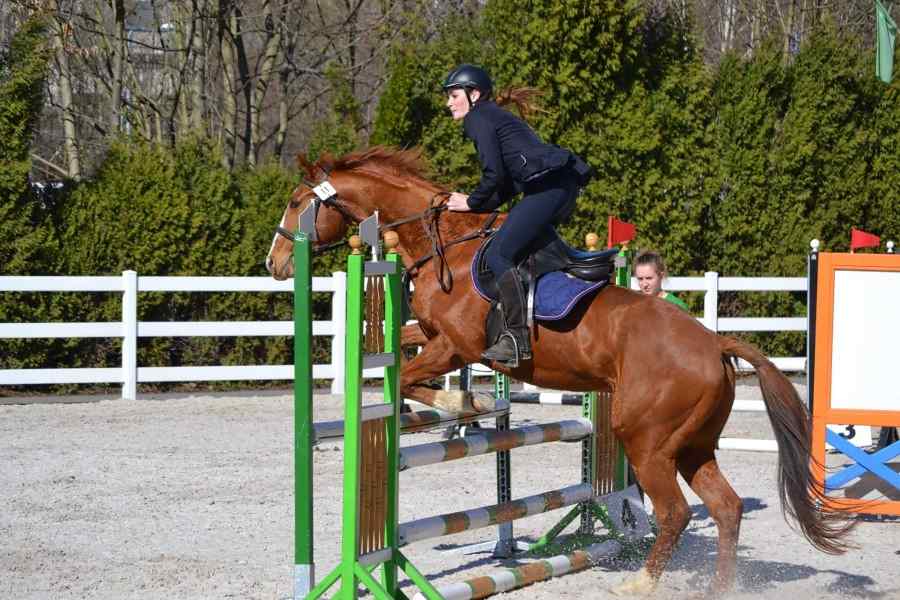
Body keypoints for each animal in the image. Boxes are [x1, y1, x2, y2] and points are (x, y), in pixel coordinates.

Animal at [266, 145, 852, 596]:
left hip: (647, 440)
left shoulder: (457, 347)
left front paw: (465, 403)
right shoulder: (434, 339)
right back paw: (719, 588)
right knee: (726, 508)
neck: (445, 245)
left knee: (676, 513)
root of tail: (714, 343)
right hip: (692, 444)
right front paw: (466, 403)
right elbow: (403, 358)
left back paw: (639, 582)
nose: (274, 263)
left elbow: (410, 378)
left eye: (296, 203)